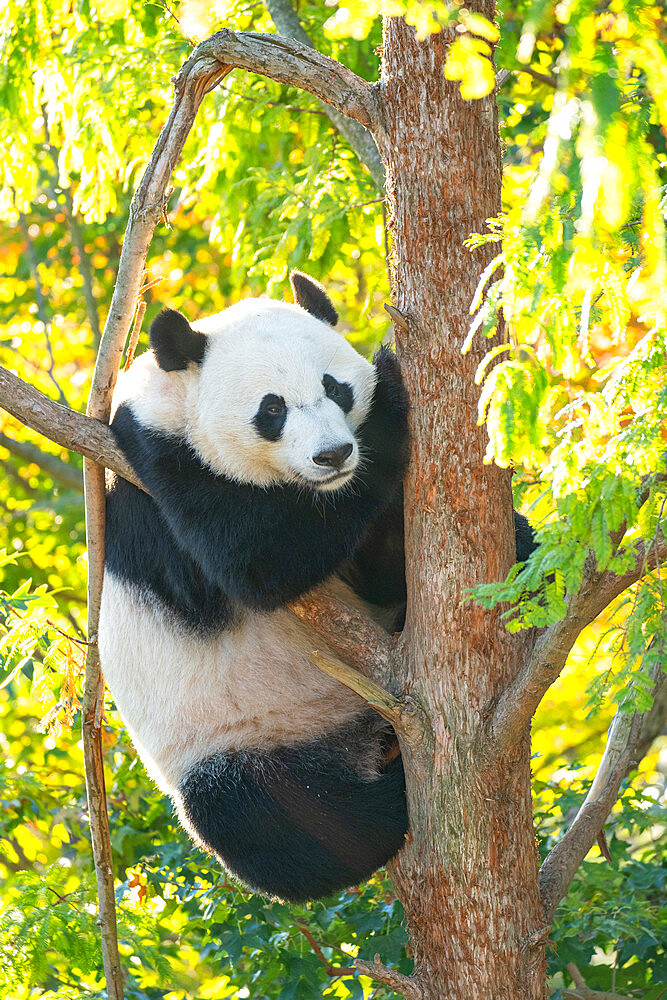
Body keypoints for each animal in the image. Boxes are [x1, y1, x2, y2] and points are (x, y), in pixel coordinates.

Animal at [99, 270, 536, 904]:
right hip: (235, 738)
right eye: (272, 410)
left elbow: (382, 570)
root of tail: (357, 744)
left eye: (335, 388)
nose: (334, 454)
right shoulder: (155, 468)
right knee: (266, 820)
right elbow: (256, 556)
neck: (174, 396)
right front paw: (392, 381)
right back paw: (389, 803)